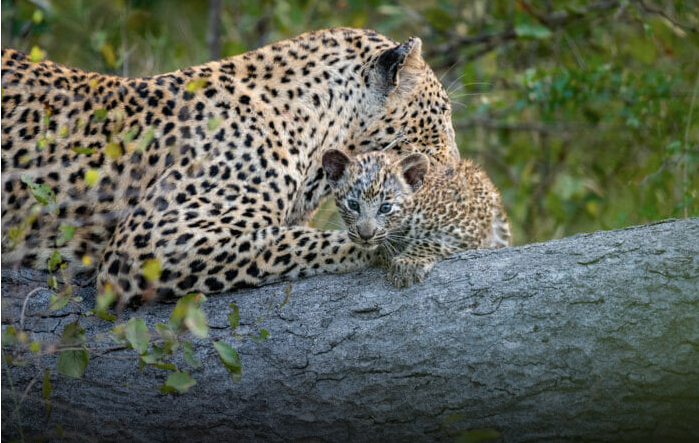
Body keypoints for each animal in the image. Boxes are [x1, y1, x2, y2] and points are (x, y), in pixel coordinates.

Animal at [322, 148, 511, 287]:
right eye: (353, 205)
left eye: (385, 208)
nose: (366, 236)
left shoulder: (464, 228)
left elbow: (429, 242)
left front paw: (407, 264)